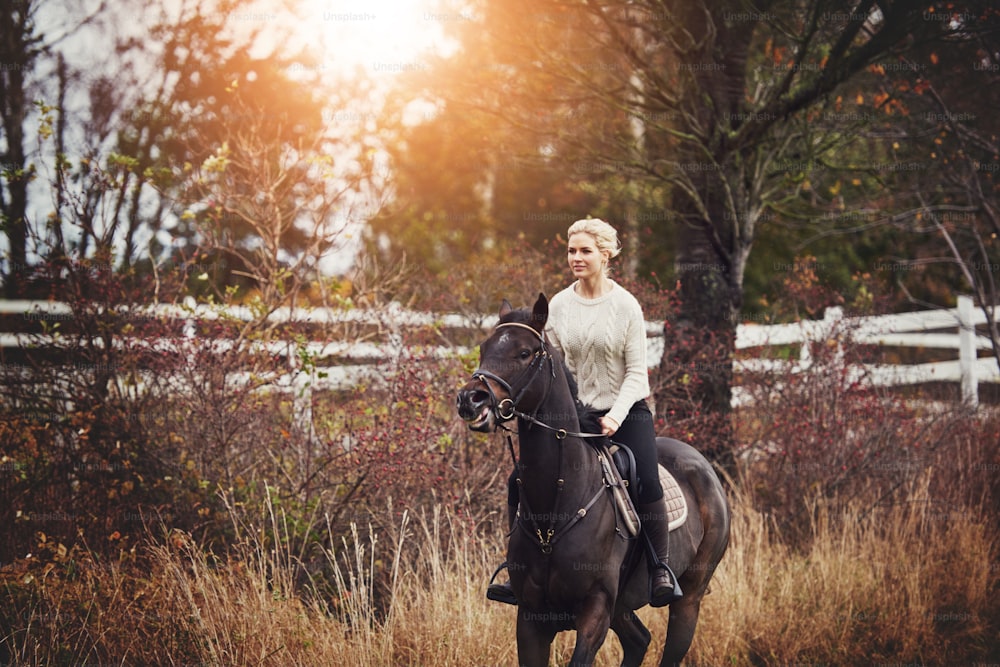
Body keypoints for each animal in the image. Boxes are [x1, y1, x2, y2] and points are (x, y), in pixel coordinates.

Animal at [458, 294, 732, 667]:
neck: (557, 507)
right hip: (622, 607)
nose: (471, 400)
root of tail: (705, 469)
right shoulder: (530, 620)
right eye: (484, 348)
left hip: (687, 600)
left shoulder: (595, 611)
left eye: (525, 352)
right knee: (639, 640)